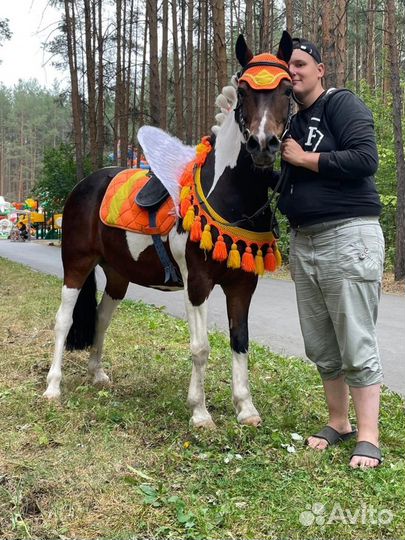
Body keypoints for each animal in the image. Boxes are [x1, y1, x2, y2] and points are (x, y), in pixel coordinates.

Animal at [42, 31, 292, 428]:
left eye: (287, 88)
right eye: (244, 91)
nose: (262, 144)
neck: (229, 195)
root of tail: (86, 184)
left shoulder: (242, 284)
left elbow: (240, 341)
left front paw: (246, 408)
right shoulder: (198, 283)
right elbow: (201, 347)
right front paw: (200, 412)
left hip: (117, 274)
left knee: (102, 318)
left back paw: (97, 374)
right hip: (77, 265)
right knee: (63, 321)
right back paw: (53, 387)